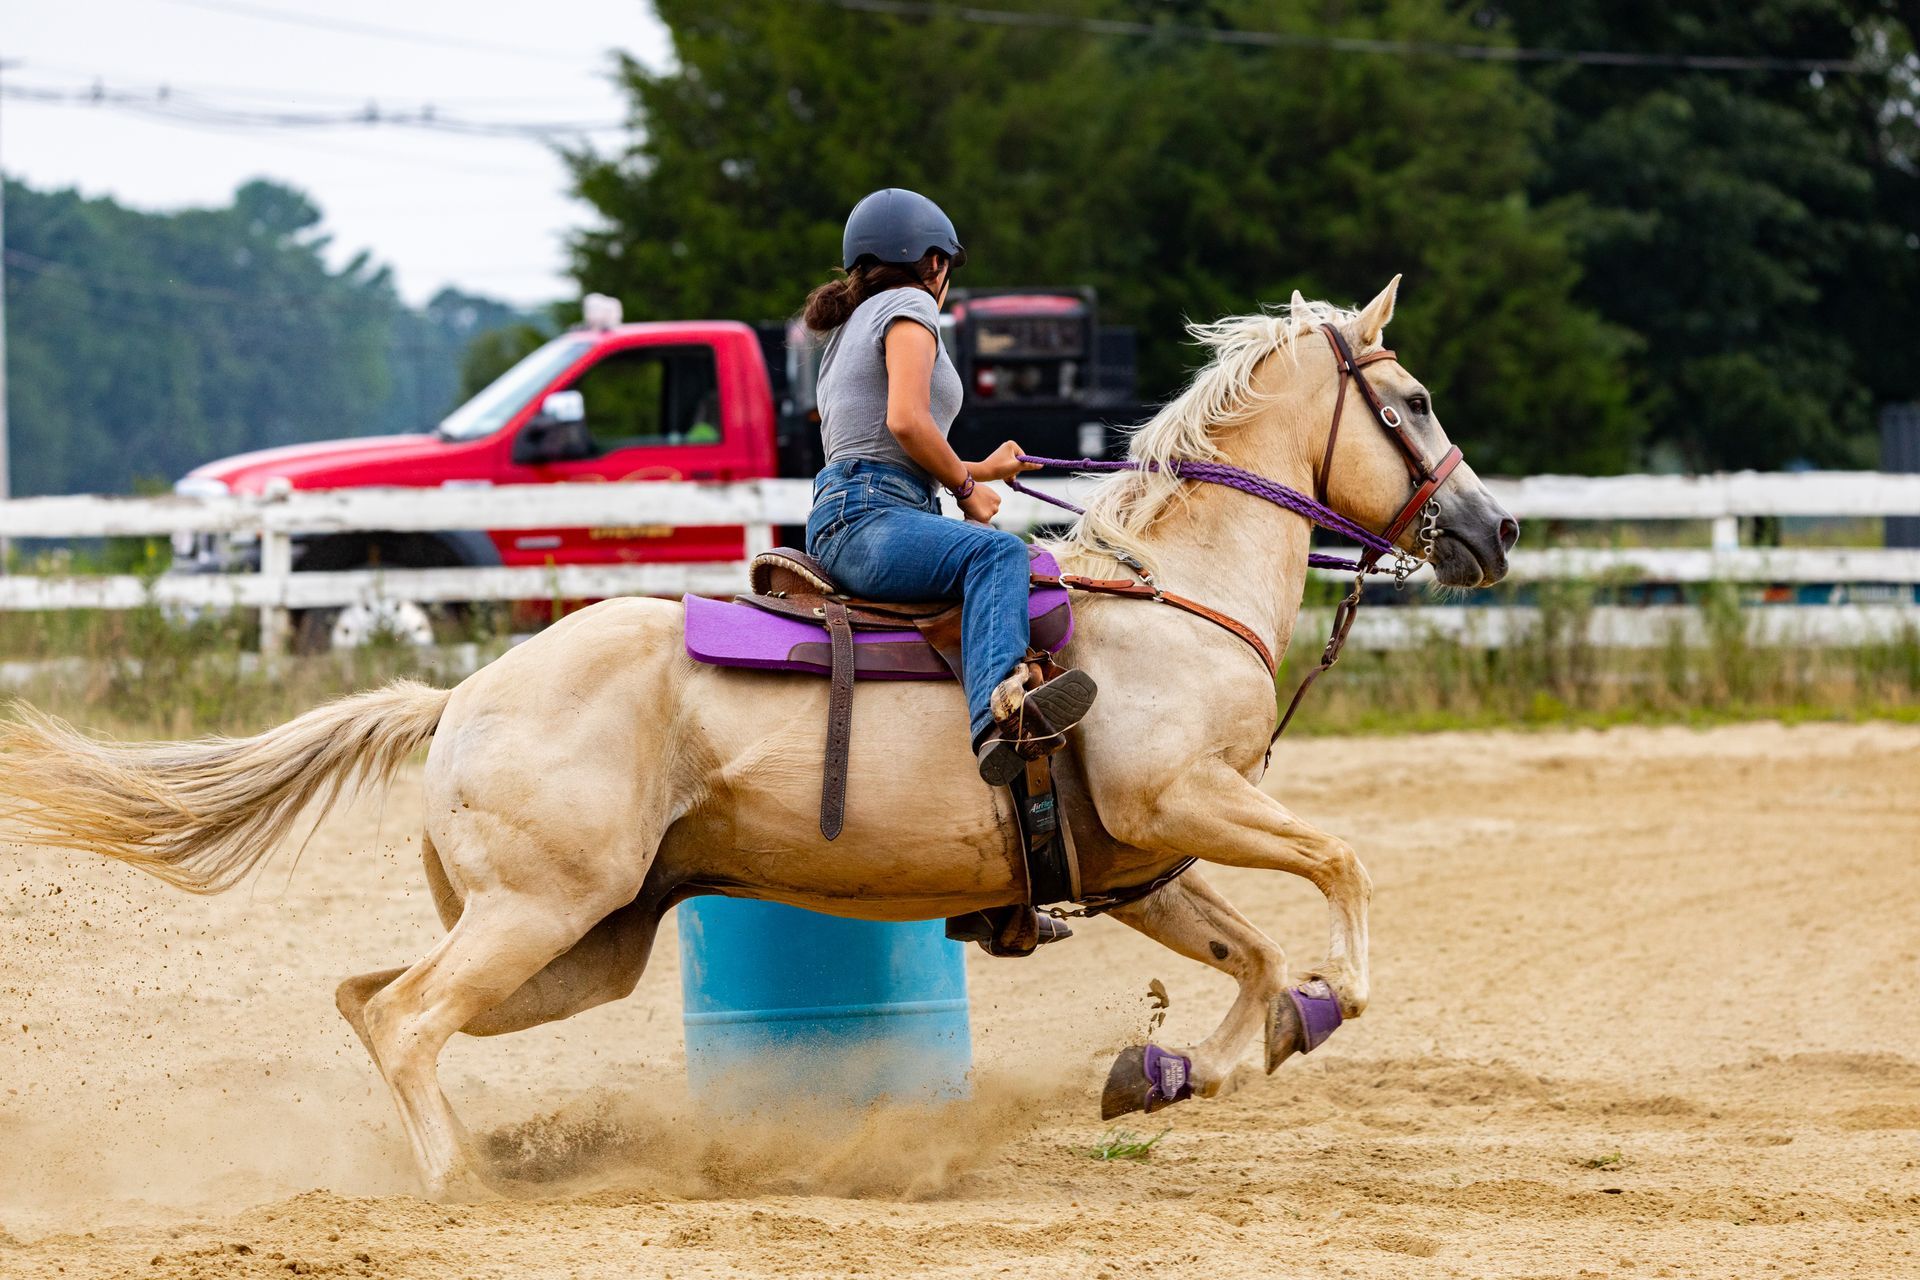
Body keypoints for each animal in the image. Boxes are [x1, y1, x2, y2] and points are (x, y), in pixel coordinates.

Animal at [0, 279, 1516, 1200]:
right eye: (1416, 402)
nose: (1493, 529)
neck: (1165, 601)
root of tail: (467, 693)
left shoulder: (1141, 861)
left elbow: (1251, 961)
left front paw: (1183, 1068)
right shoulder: (1182, 802)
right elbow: (1342, 872)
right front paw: (1329, 1000)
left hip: (577, 942)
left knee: (371, 997)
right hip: (542, 915)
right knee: (413, 1017)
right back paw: (461, 1184)